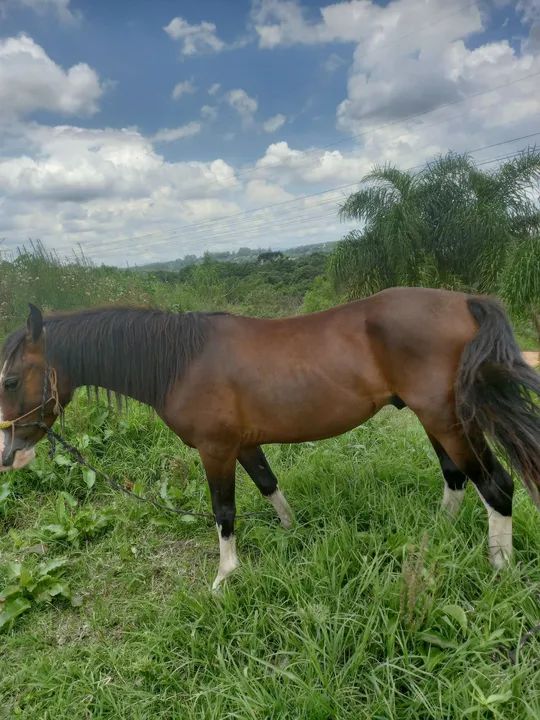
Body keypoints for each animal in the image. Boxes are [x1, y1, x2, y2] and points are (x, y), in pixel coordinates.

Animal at [0, 287, 539, 590]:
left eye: (9, 380)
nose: (10, 456)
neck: (181, 361)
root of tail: (464, 303)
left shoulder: (216, 450)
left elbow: (224, 511)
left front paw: (225, 577)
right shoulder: (243, 445)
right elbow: (268, 485)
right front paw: (291, 534)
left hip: (450, 421)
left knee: (496, 485)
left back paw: (499, 568)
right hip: (436, 421)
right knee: (456, 478)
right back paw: (436, 536)